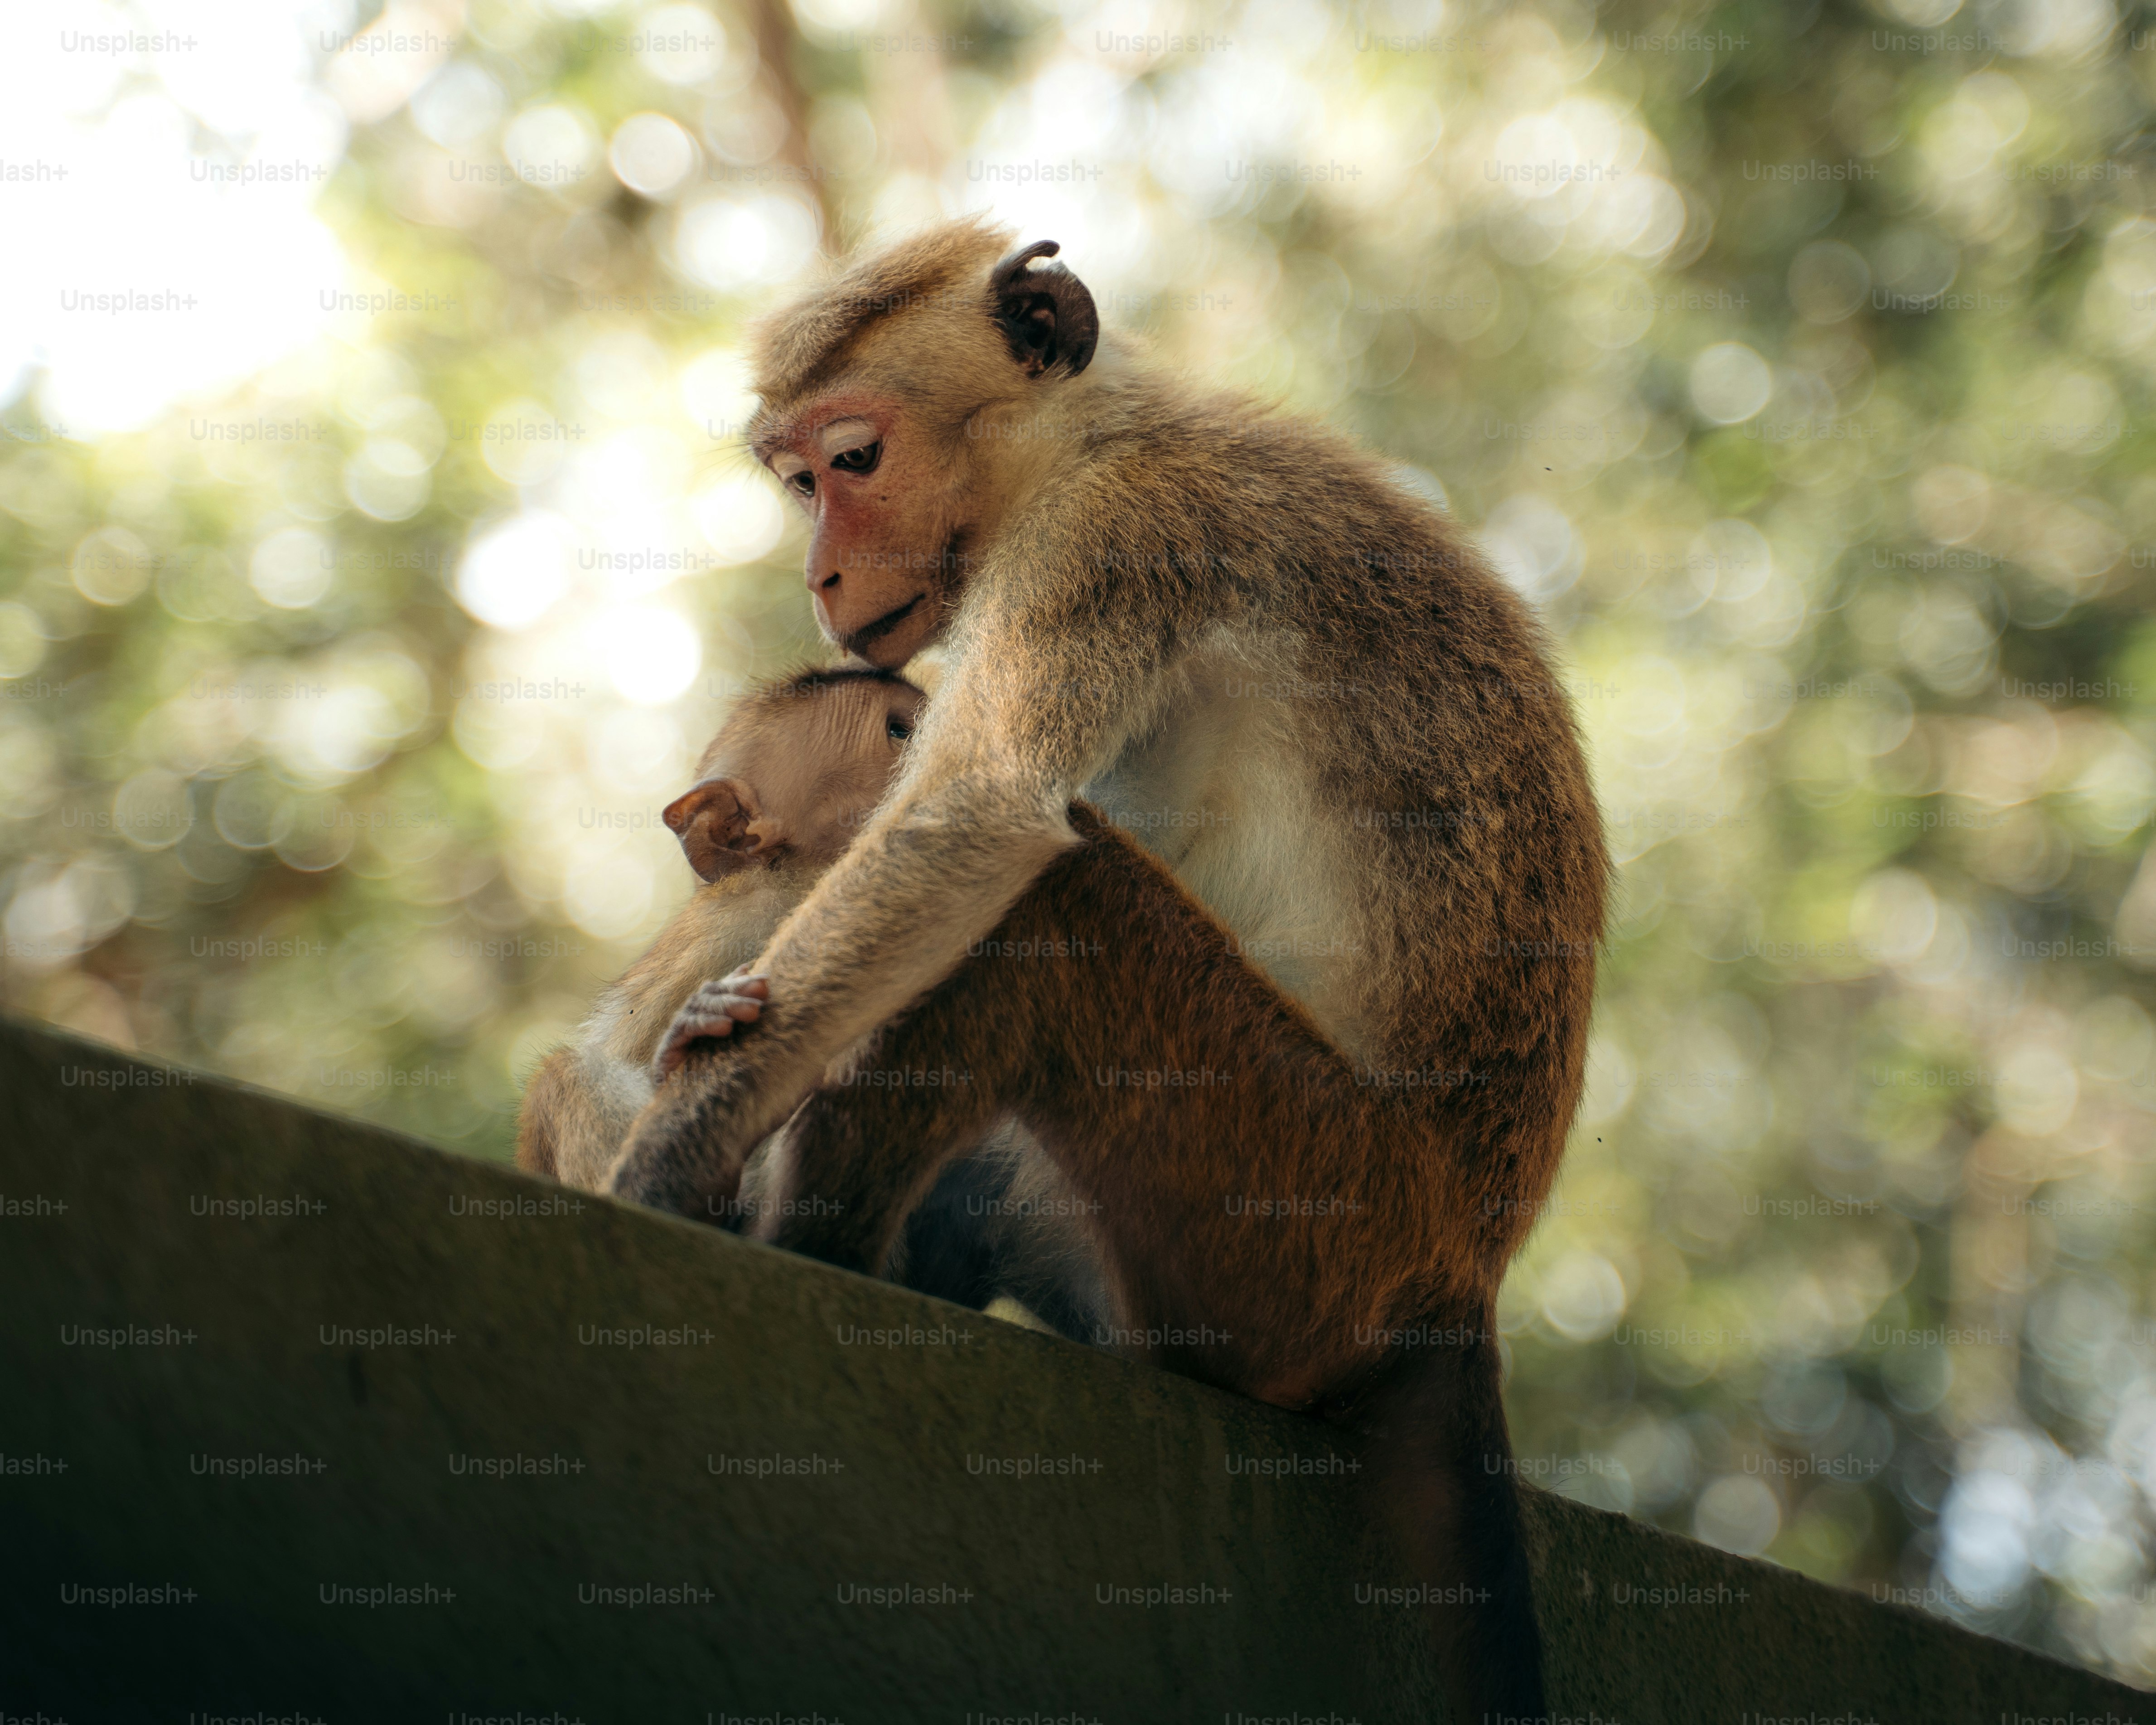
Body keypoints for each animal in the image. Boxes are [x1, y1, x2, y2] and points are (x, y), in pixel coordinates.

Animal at [602, 219, 1608, 1718]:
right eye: (795, 483)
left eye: (852, 460)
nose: (821, 574)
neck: (1089, 436)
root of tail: (1455, 1278)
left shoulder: (1111, 535)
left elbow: (986, 813)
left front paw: (668, 1155)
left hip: (1297, 1213)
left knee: (1057, 898)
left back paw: (817, 1254)